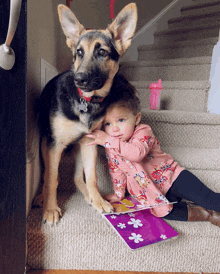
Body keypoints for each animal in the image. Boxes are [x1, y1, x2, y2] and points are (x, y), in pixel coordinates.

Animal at [38, 2, 137, 225]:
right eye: (79, 52)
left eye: (101, 51)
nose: (79, 79)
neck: (86, 101)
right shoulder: (54, 146)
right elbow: (52, 178)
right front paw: (50, 209)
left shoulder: (89, 143)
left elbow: (92, 177)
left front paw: (98, 199)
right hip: (45, 145)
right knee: (48, 175)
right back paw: (41, 197)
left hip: (79, 150)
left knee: (77, 178)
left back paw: (91, 196)